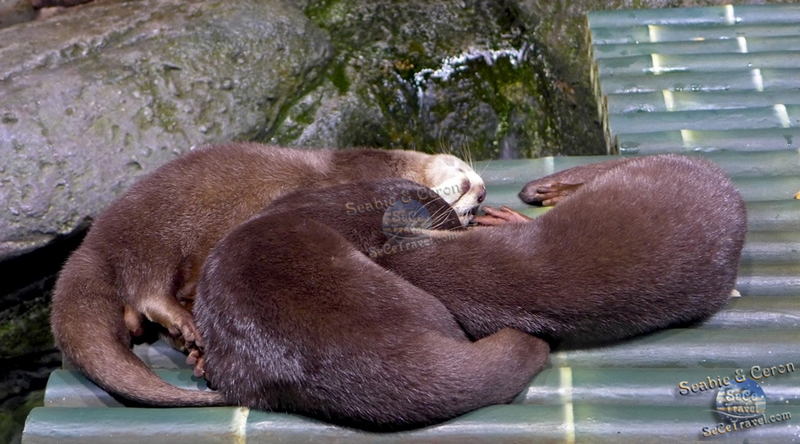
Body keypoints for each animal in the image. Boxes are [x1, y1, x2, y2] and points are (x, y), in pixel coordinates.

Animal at [53, 142, 488, 406]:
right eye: (461, 170)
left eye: (474, 203)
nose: (481, 191)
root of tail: (94, 243)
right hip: (155, 236)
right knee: (148, 290)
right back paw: (186, 326)